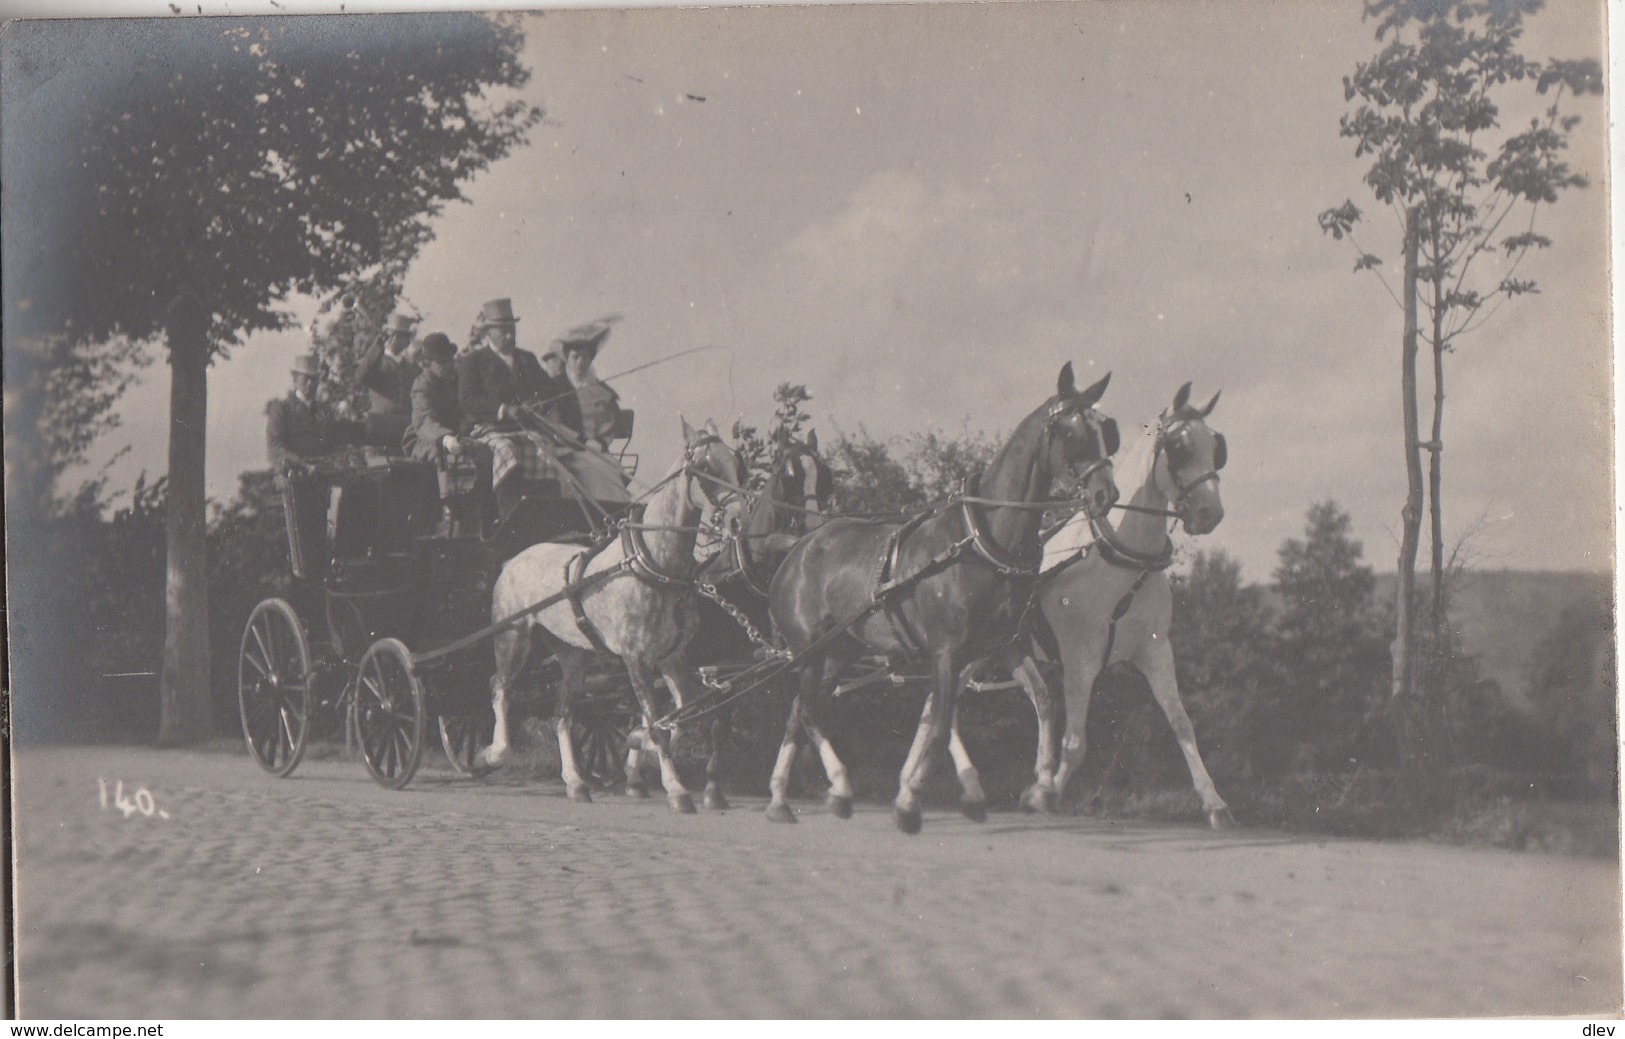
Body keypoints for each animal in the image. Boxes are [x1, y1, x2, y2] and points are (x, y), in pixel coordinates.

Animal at [474, 419, 744, 816]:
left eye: (735, 462)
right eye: (704, 468)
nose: (738, 520)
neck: (655, 566)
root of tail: (512, 559)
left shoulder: (672, 657)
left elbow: (679, 716)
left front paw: (636, 741)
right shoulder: (636, 659)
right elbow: (660, 724)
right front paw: (677, 790)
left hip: (573, 656)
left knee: (562, 714)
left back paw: (576, 782)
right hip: (513, 637)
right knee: (498, 688)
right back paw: (491, 754)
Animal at [760, 360, 1118, 832]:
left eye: (1105, 429)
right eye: (1072, 431)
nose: (1106, 494)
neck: (981, 539)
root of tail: (797, 547)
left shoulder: (1004, 644)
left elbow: (1042, 699)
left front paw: (1040, 786)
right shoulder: (946, 649)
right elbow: (943, 716)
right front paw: (912, 799)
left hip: (840, 651)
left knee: (802, 707)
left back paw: (785, 798)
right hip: (810, 649)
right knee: (807, 710)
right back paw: (836, 787)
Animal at [949, 382, 1228, 829]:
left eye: (1215, 446)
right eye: (1178, 446)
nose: (1209, 513)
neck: (1121, 559)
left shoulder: (1155, 651)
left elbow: (1182, 724)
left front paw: (1213, 801)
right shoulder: (1080, 657)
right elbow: (1076, 743)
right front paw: (1042, 792)